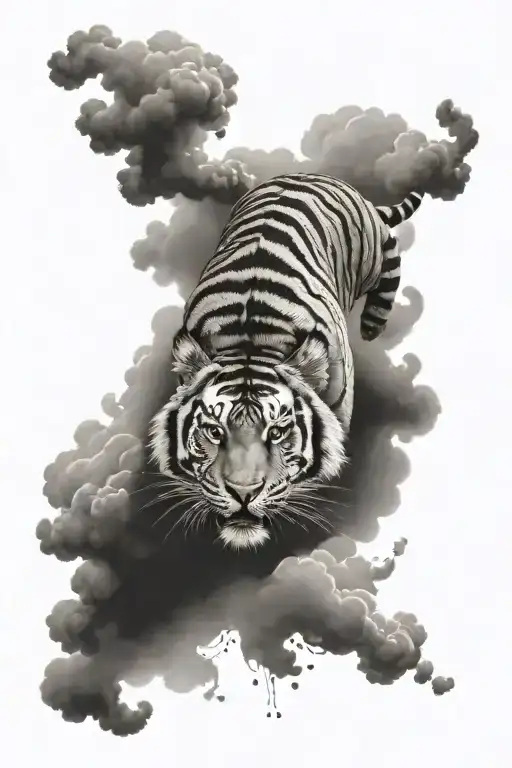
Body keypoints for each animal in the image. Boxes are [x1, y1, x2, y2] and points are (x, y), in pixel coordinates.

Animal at [149, 173, 424, 550]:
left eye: (278, 432)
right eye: (214, 432)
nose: (243, 493)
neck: (249, 341)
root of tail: (315, 176)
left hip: (372, 248)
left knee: (389, 248)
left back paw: (373, 323)